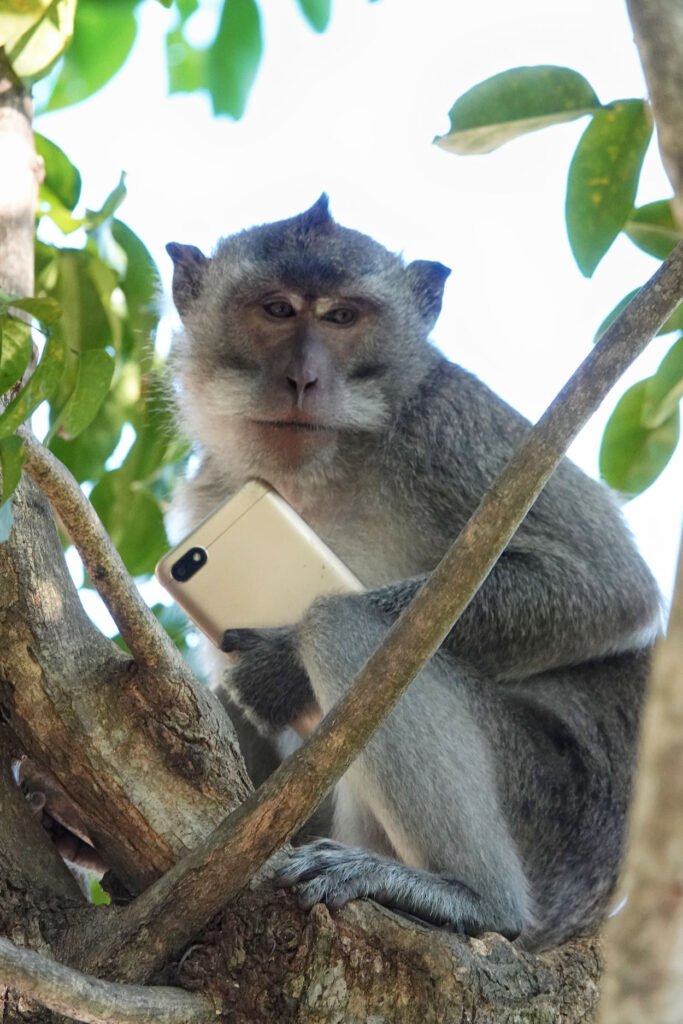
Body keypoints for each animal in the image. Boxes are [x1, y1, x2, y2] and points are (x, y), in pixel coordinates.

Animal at [165, 194, 661, 950]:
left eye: (342, 317)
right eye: (277, 309)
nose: (303, 379)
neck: (322, 475)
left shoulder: (448, 425)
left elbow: (612, 589)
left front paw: (281, 666)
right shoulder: (213, 494)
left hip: (551, 806)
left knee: (346, 625)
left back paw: (473, 898)